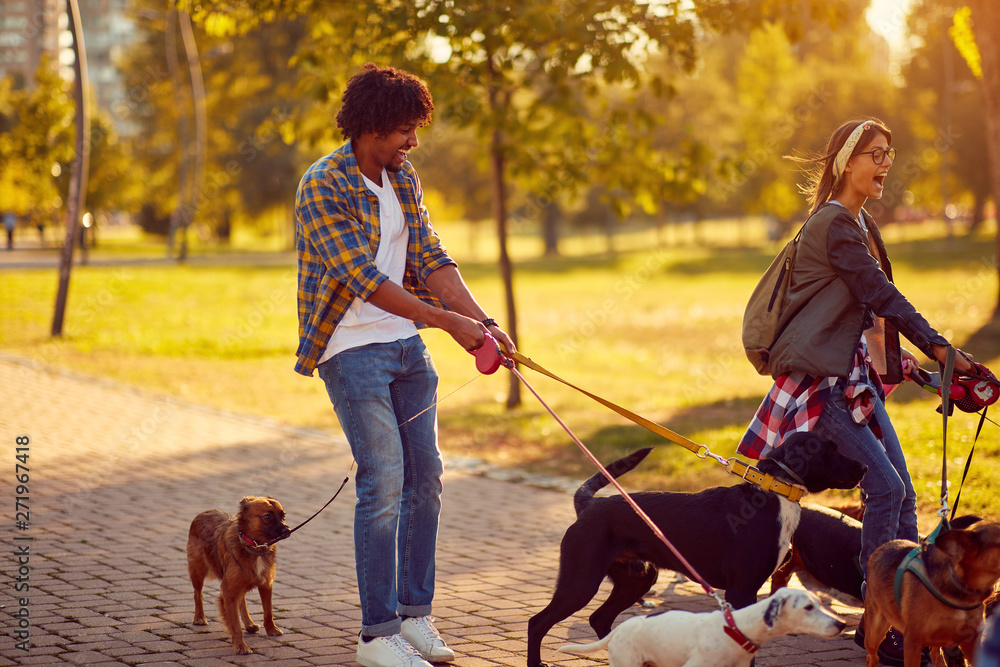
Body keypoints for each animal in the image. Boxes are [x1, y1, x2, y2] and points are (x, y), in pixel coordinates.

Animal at [188, 498, 292, 656]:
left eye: (283, 515)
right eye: (267, 516)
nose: (288, 530)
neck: (255, 546)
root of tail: (205, 512)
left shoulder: (266, 585)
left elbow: (268, 612)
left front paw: (271, 629)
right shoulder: (228, 592)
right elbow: (235, 624)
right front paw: (241, 646)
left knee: (242, 599)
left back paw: (249, 624)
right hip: (198, 570)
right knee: (197, 593)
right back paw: (199, 617)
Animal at [860, 520, 1000, 667]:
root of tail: (882, 547)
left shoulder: (971, 643)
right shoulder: (912, 642)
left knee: (935, 655)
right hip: (875, 632)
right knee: (872, 656)